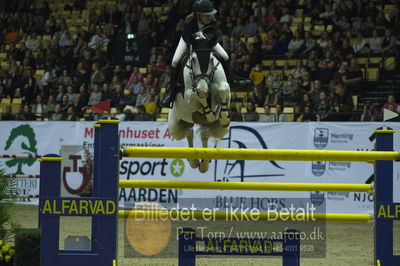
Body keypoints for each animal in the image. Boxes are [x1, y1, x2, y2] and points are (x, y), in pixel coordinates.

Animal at [168, 31, 231, 174]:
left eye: (212, 59)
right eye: (193, 60)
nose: (203, 88)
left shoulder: (221, 84)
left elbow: (223, 88)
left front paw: (223, 116)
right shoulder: (189, 96)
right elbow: (199, 96)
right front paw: (209, 114)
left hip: (221, 130)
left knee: (205, 134)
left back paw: (204, 164)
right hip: (175, 127)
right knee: (188, 133)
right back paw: (194, 161)